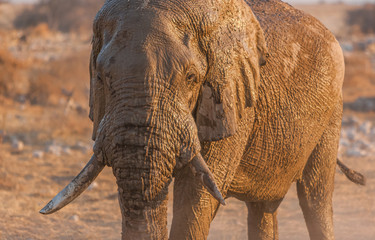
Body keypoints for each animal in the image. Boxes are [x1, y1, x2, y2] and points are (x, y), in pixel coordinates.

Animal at [39, 0, 366, 239]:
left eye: (191, 78)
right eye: (101, 77)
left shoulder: (232, 100)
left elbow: (196, 197)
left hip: (333, 109)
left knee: (315, 197)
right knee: (263, 208)